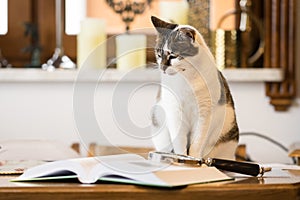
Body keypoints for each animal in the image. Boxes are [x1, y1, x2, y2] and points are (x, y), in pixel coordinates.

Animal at [150, 15, 239, 159]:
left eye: (173, 55)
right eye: (158, 54)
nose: (162, 67)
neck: (187, 79)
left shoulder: (204, 113)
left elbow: (197, 142)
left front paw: (194, 158)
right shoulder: (175, 111)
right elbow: (179, 142)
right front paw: (180, 158)